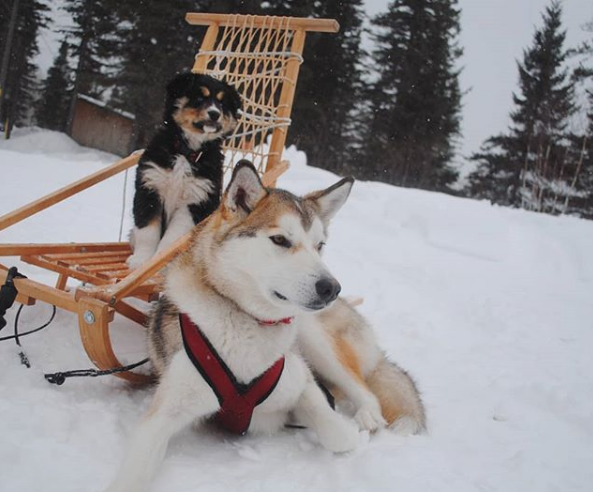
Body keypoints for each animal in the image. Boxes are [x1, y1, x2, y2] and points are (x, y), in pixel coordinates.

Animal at [104, 162, 424, 492]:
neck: (248, 322)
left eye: (319, 245)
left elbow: (341, 436)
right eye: (281, 240)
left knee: (364, 389)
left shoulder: (301, 381)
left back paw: (368, 415)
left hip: (316, 341)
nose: (331, 288)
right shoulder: (161, 417)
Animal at [127, 72, 240, 270]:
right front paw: (140, 261)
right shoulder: (150, 187)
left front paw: (158, 263)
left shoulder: (194, 201)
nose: (215, 114)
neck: (187, 152)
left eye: (222, 103)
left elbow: (170, 241)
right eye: (199, 98)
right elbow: (147, 231)